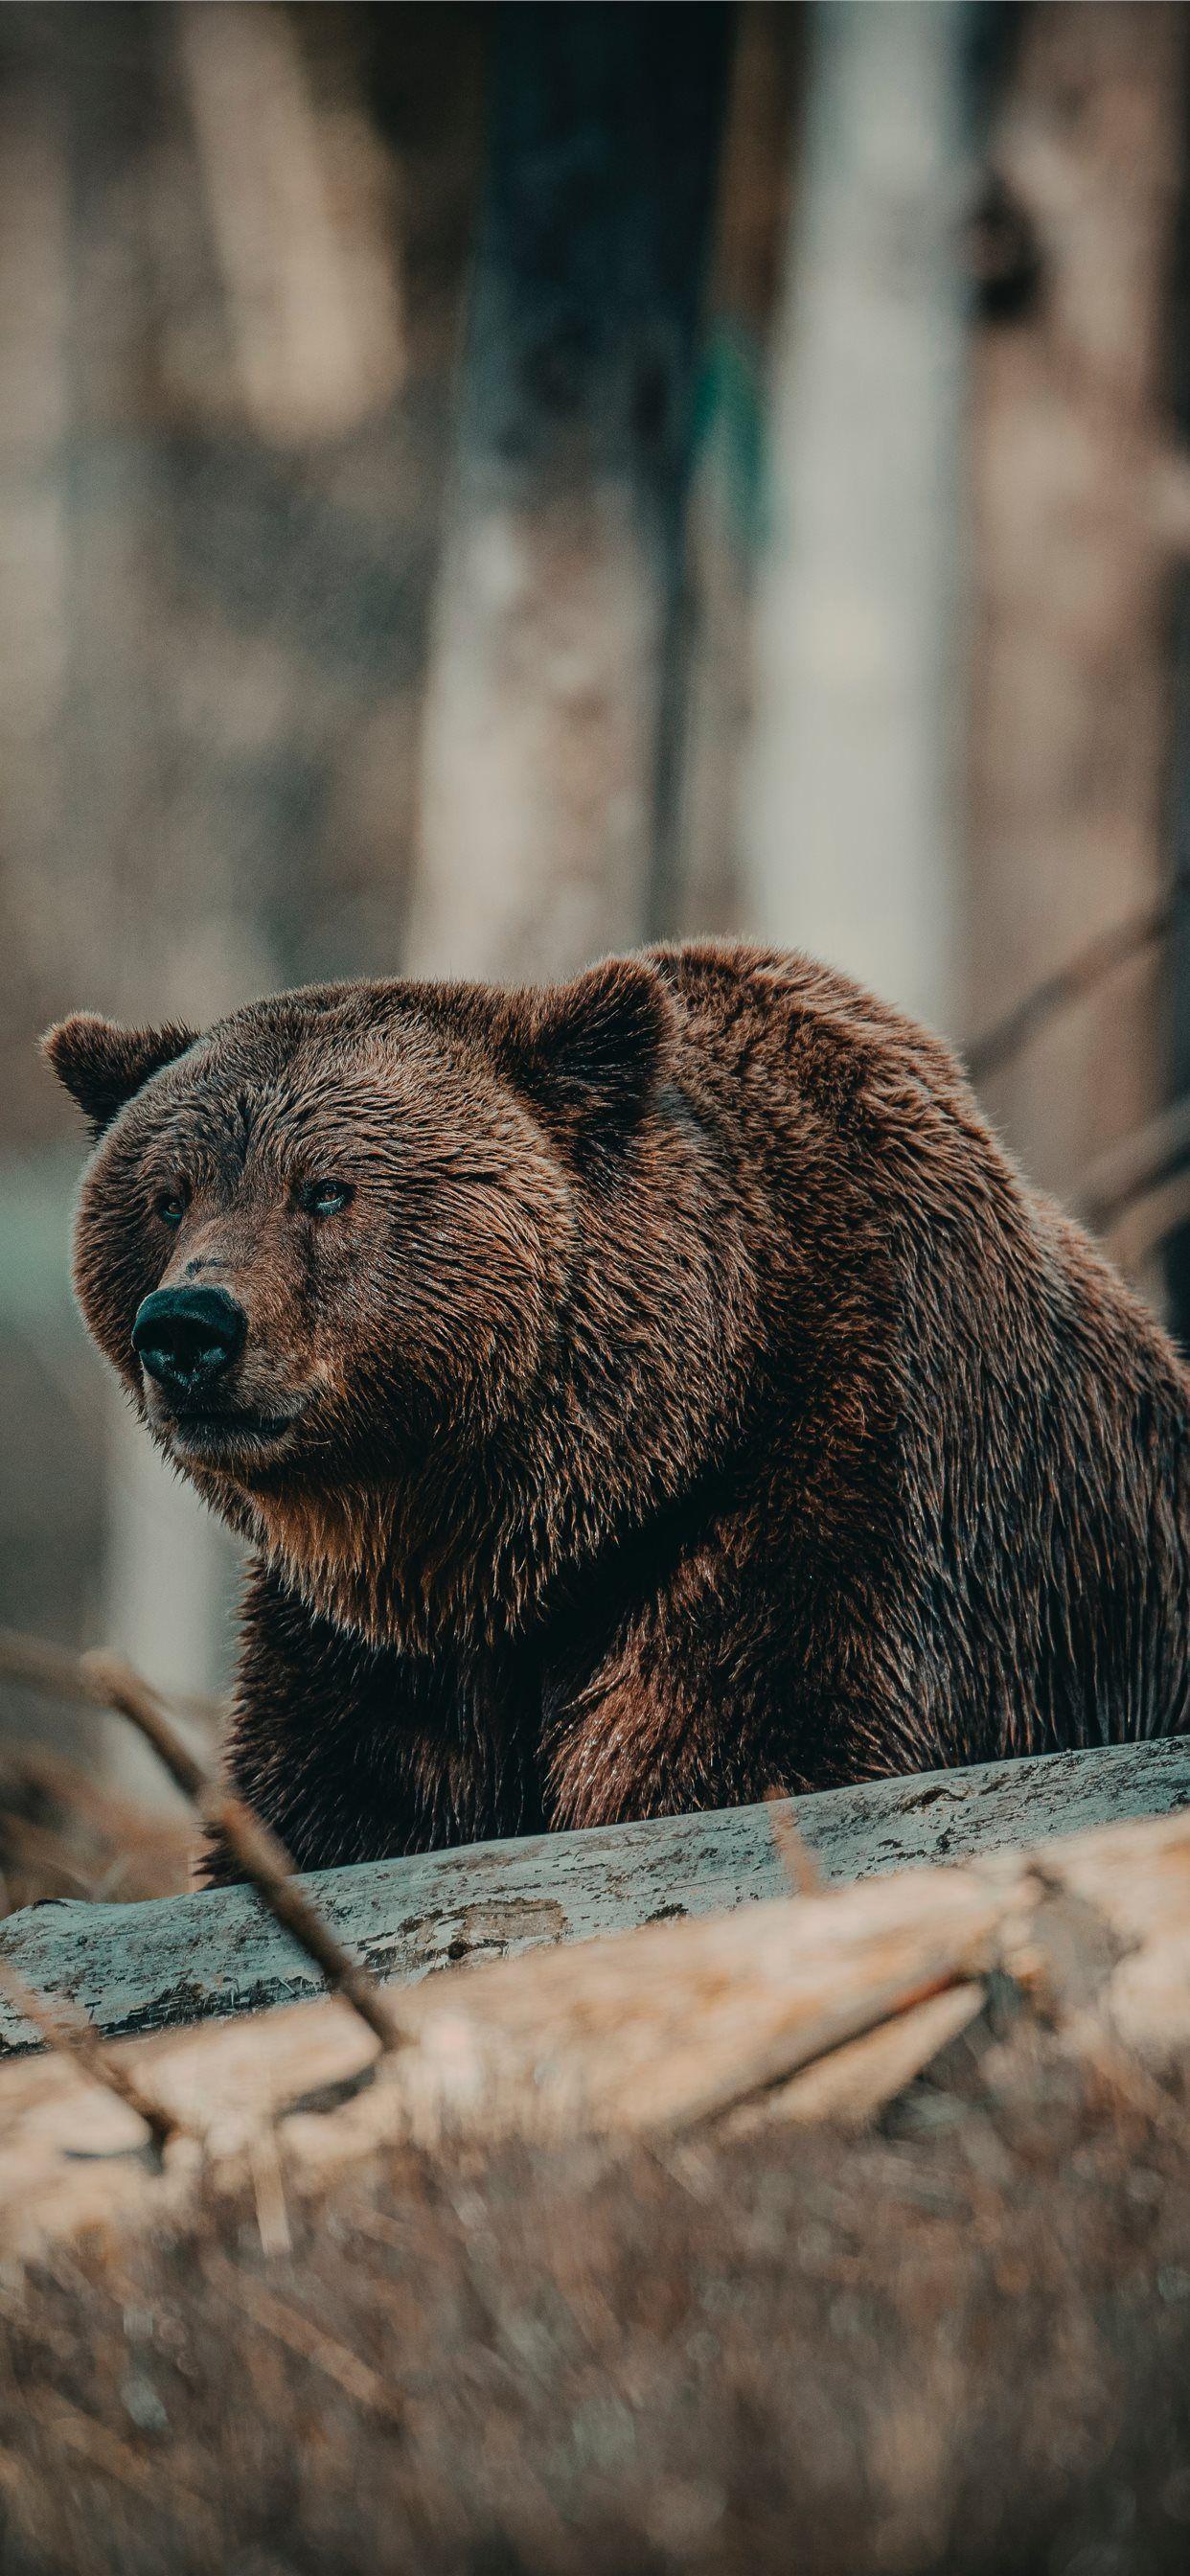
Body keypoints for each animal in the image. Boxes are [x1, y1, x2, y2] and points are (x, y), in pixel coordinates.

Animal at [44, 939, 1190, 1879]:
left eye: (326, 1188)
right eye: (167, 1196)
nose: (187, 1328)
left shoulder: (837, 1490)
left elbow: (751, 1750)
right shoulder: (374, 1657)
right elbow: (334, 1808)